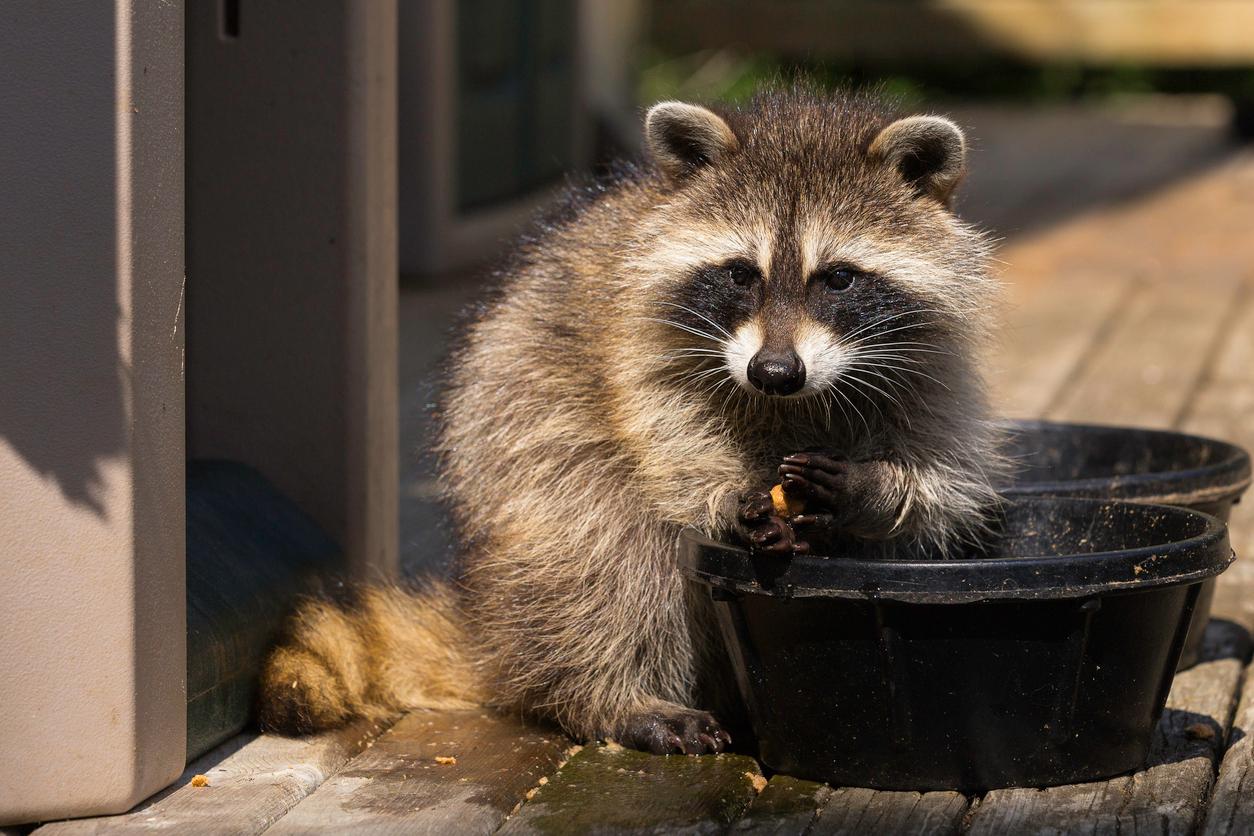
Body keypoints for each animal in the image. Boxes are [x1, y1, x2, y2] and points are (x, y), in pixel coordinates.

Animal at [257, 88, 1008, 757]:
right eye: (742, 274)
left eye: (839, 278)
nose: (773, 371)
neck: (792, 403)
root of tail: (487, 620)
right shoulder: (637, 339)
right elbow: (661, 435)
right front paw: (725, 496)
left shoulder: (930, 365)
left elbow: (942, 490)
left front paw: (871, 490)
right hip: (525, 455)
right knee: (605, 550)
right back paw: (612, 696)